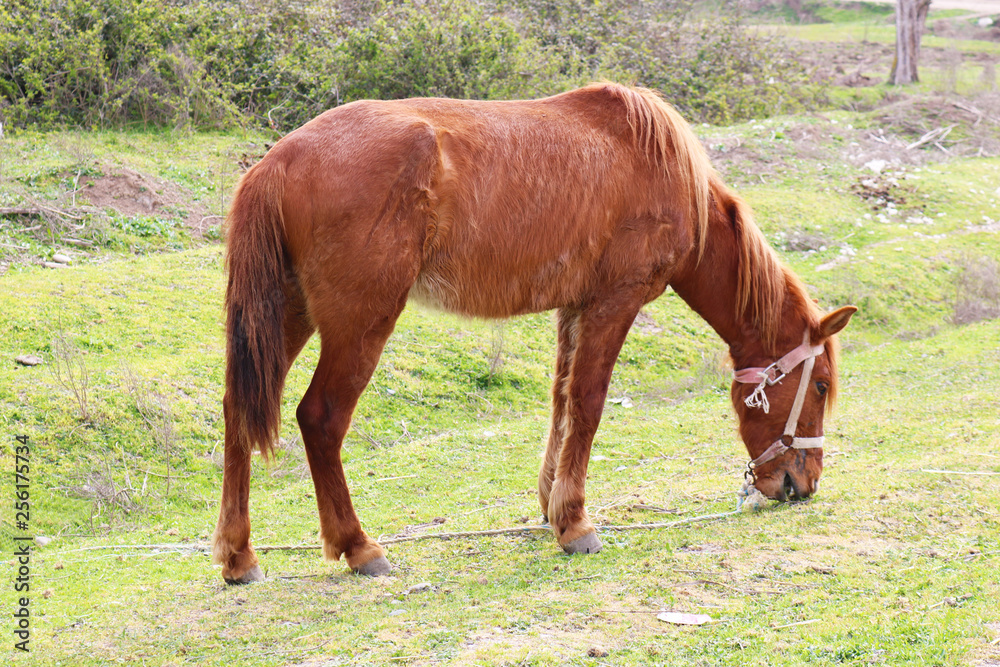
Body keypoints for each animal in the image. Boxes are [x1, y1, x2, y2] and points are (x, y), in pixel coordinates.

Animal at [211, 82, 856, 583]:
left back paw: (239, 556)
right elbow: (588, 404)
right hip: (359, 324)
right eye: (821, 386)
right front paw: (573, 524)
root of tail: (278, 161)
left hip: (286, 316)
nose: (805, 484)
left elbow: (560, 403)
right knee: (320, 419)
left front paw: (551, 506)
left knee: (237, 413)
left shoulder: (573, 309)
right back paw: (358, 546)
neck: (662, 169)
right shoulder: (613, 304)